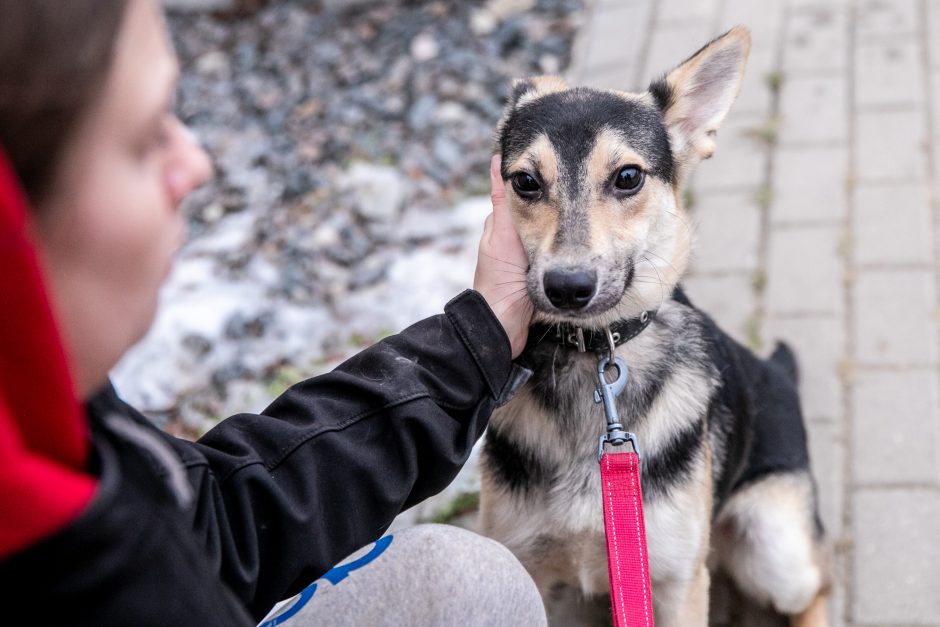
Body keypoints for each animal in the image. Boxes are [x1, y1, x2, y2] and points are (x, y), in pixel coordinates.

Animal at [482, 25, 832, 627]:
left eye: (627, 177)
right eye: (524, 181)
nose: (567, 286)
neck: (592, 356)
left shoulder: (676, 581)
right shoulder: (524, 571)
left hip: (775, 547)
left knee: (815, 587)